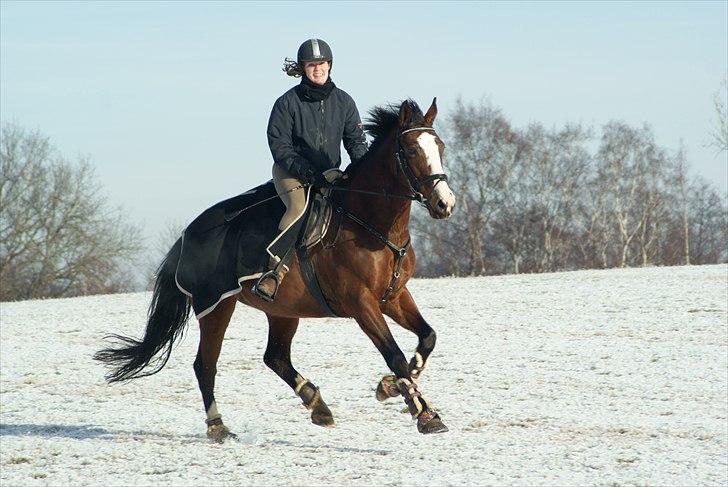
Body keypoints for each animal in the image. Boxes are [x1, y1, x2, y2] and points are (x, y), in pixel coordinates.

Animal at [92, 98, 456, 442]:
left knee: (275, 357)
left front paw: (392, 388)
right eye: (411, 150)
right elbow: (394, 355)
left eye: (439, 147)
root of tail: (186, 236)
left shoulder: (393, 296)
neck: (371, 223)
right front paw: (425, 415)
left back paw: (316, 404)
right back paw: (218, 427)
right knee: (206, 364)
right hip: (215, 306)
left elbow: (427, 338)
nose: (445, 204)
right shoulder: (361, 303)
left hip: (283, 309)